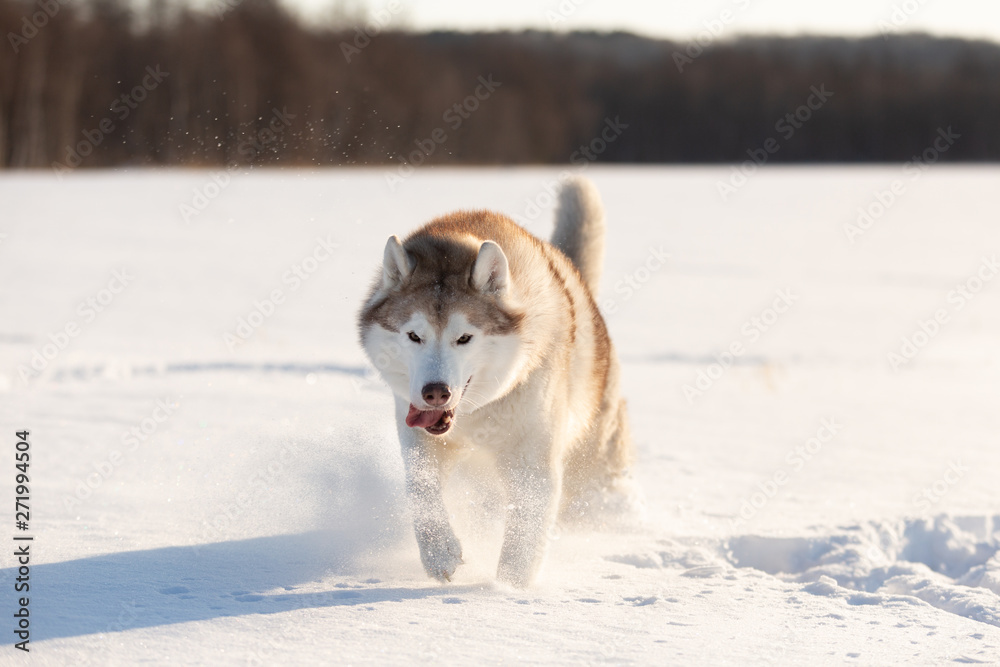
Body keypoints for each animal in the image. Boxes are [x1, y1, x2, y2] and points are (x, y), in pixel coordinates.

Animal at [356, 177, 628, 588]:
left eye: (464, 337)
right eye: (414, 336)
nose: (435, 392)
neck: (476, 413)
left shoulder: (533, 457)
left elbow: (526, 527)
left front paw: (506, 589)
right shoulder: (416, 431)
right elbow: (420, 487)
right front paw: (439, 552)